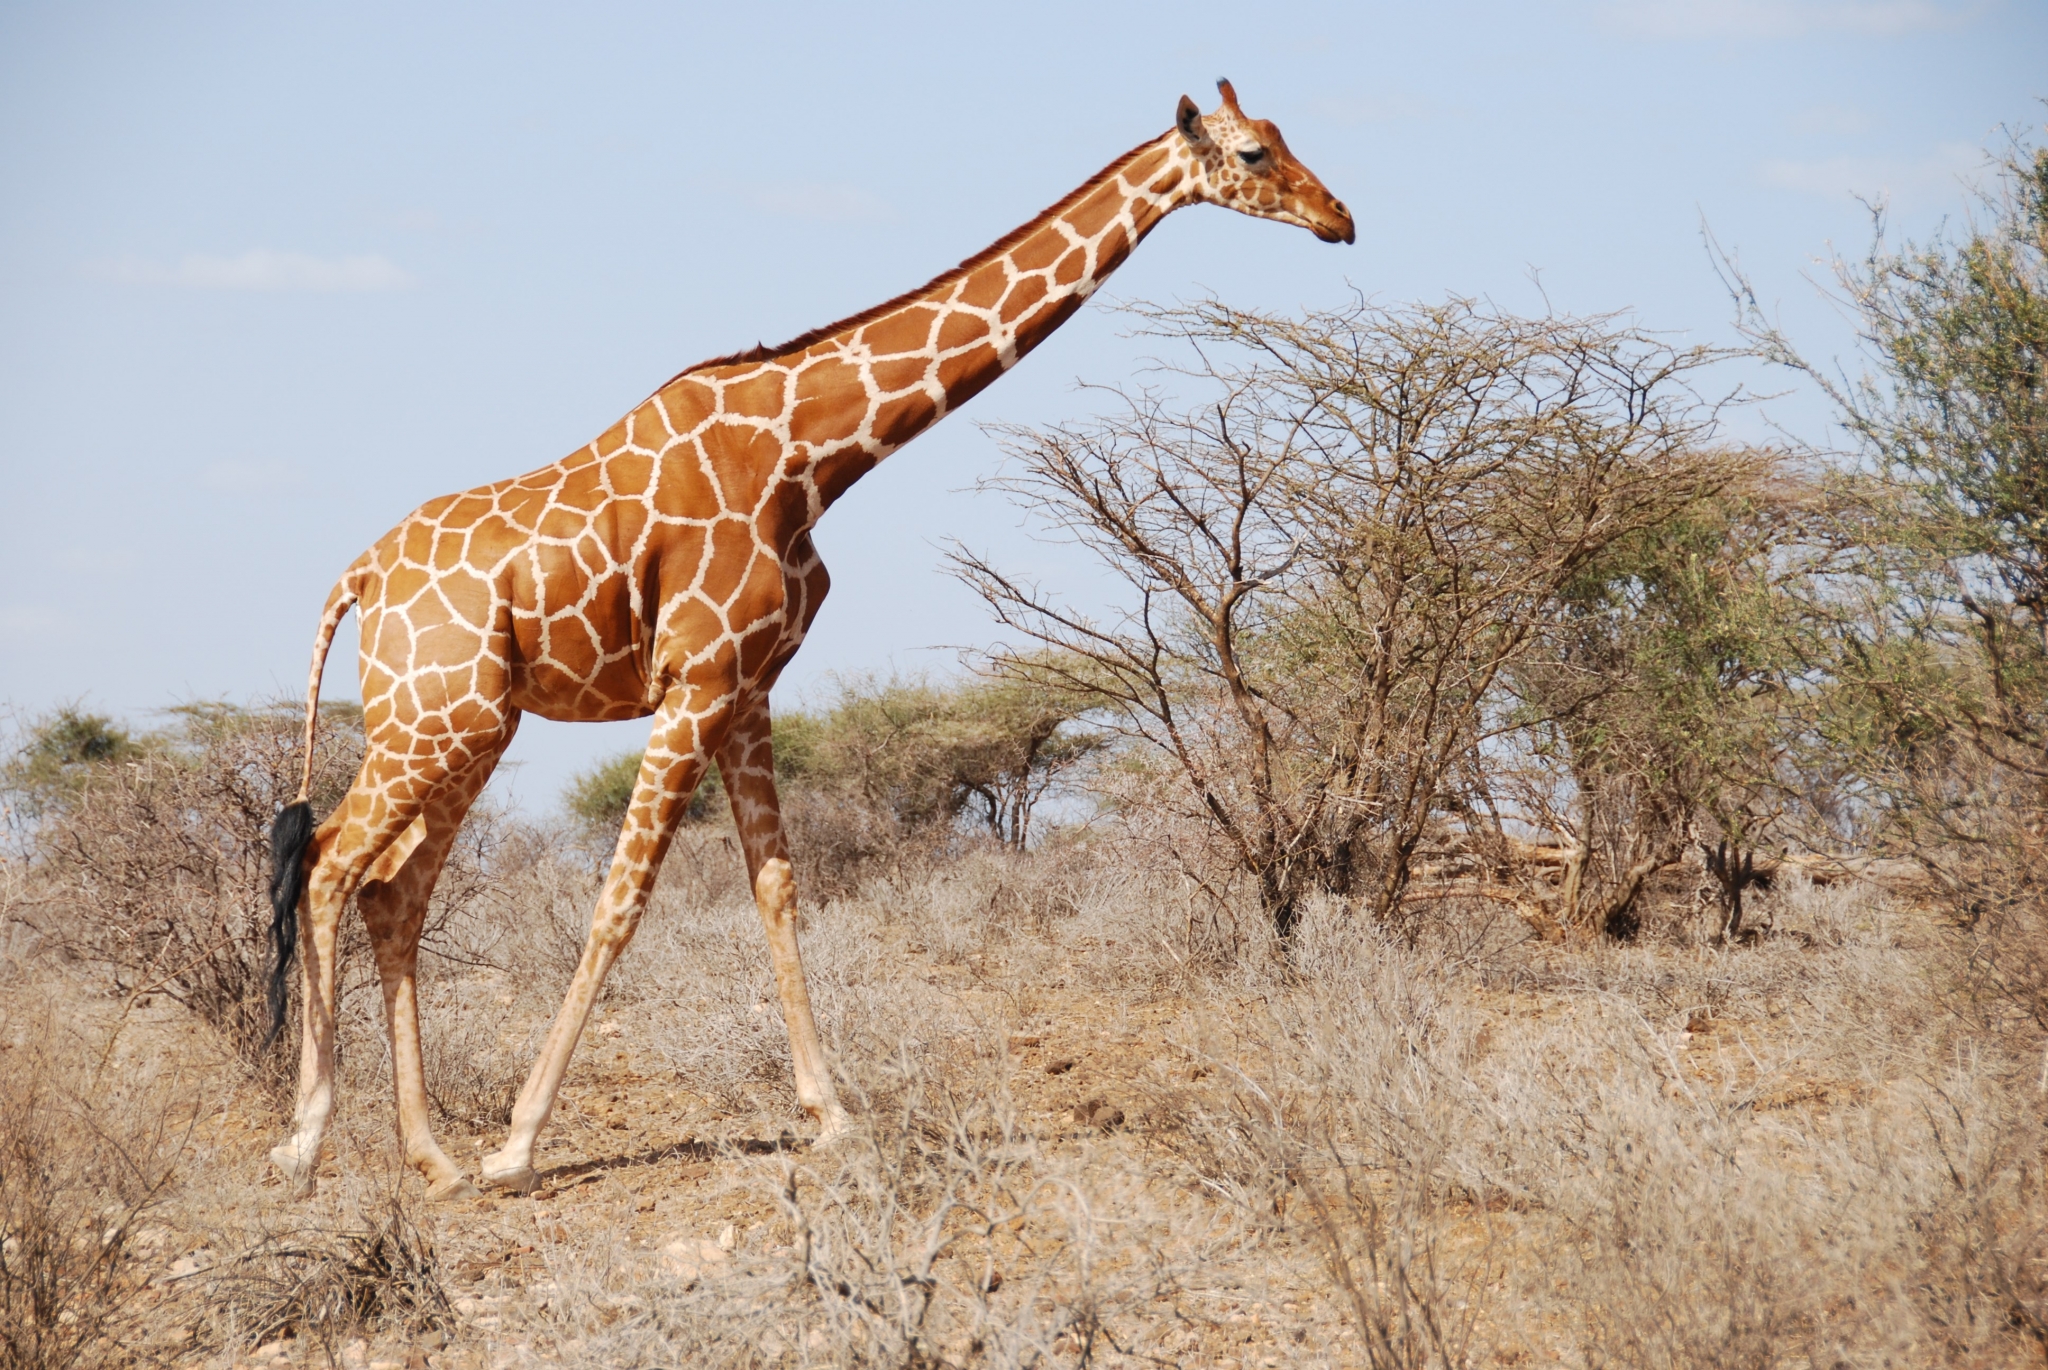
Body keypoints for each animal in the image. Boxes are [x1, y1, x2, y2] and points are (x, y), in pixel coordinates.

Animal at [263, 79, 1353, 1200]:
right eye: (1256, 153)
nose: (1339, 218)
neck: (811, 454)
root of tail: (357, 577)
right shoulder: (696, 681)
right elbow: (621, 898)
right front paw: (520, 1143)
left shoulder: (747, 689)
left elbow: (778, 888)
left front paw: (832, 1115)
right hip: (434, 717)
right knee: (329, 864)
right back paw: (306, 1140)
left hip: (472, 724)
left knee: (392, 891)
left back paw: (428, 1153)